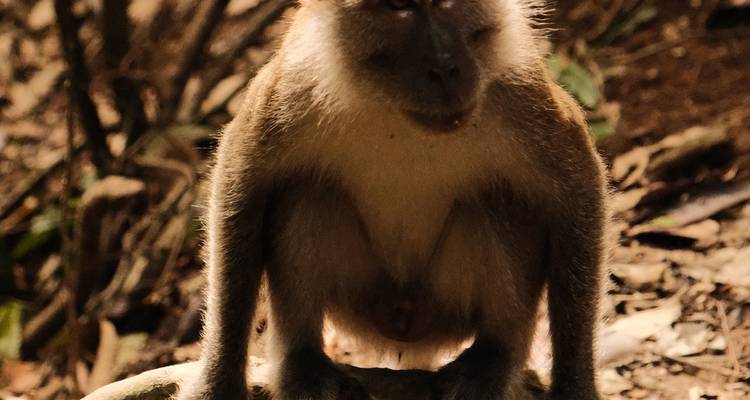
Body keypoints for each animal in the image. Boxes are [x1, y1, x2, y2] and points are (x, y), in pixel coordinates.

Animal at [177, 0, 608, 399]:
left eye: (449, 3)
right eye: (398, 7)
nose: (444, 67)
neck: (394, 108)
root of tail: (405, 320)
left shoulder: (517, 90)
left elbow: (578, 192)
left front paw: (574, 387)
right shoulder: (297, 84)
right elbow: (243, 180)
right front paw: (217, 384)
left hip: (443, 309)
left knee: (492, 202)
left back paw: (494, 358)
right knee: (312, 193)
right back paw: (303, 361)